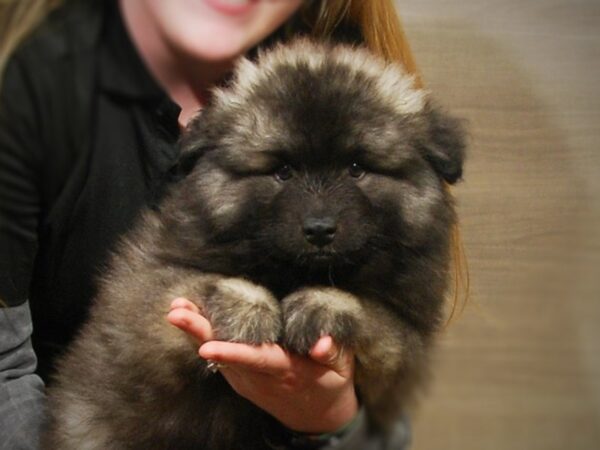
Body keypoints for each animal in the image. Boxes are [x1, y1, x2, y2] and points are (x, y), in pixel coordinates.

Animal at [43, 39, 464, 450]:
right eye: (282, 171)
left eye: (357, 169)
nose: (320, 229)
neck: (293, 271)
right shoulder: (141, 285)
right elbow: (195, 279)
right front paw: (248, 306)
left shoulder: (409, 345)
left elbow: (376, 315)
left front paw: (320, 304)